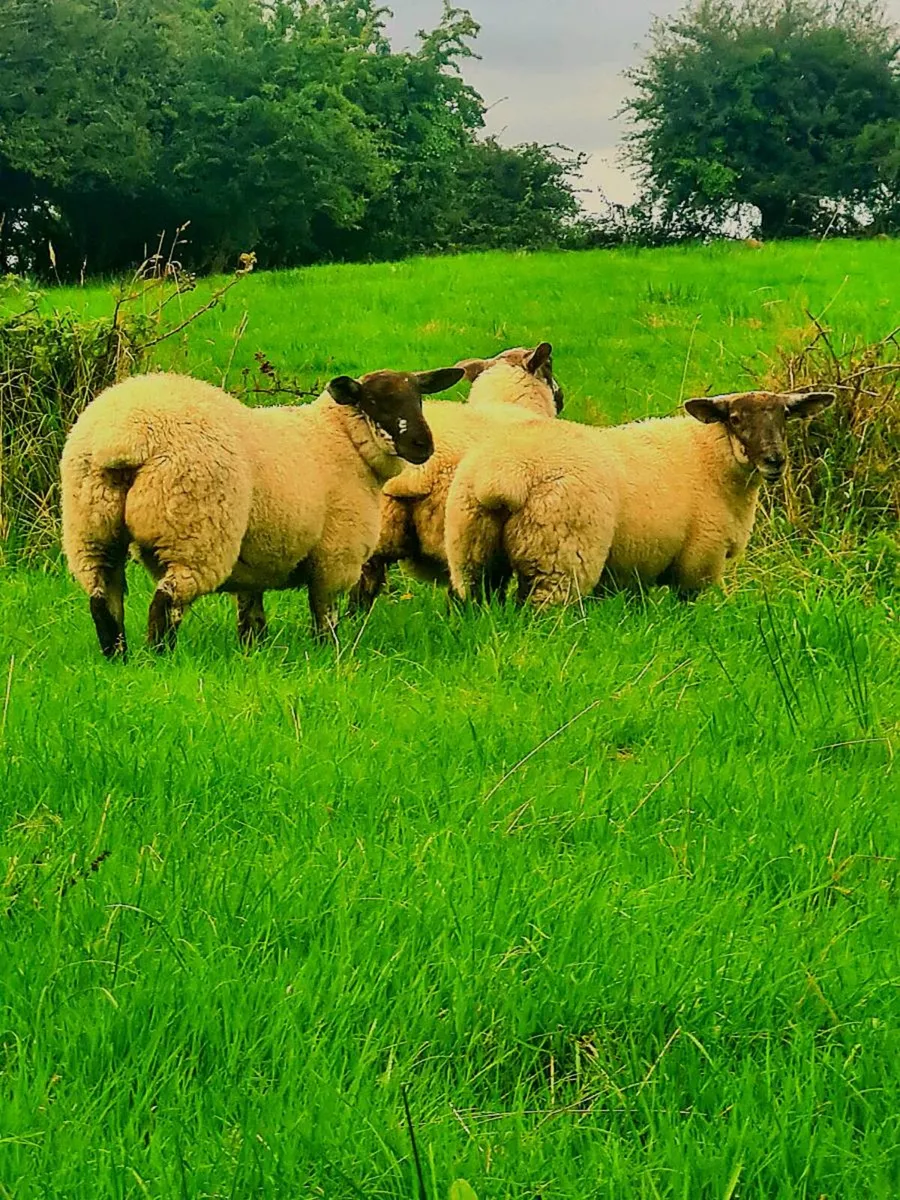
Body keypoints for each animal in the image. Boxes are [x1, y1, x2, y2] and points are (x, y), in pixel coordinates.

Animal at [61, 365, 464, 658]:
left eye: (418, 398)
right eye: (376, 402)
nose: (423, 445)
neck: (341, 439)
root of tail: (123, 436)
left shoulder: (255, 563)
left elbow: (250, 617)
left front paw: (253, 652)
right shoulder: (335, 556)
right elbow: (325, 614)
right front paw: (329, 654)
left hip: (91, 528)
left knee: (103, 598)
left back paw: (118, 658)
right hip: (195, 533)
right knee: (166, 603)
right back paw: (159, 659)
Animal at [350, 343, 564, 610]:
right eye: (550, 365)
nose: (561, 397)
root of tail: (417, 473)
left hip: (377, 530)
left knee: (362, 589)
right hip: (463, 538)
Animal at [445, 389, 835, 607]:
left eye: (784, 416)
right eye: (736, 418)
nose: (775, 460)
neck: (711, 457)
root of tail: (502, 475)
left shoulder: (640, 566)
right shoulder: (698, 563)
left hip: (472, 554)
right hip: (558, 558)